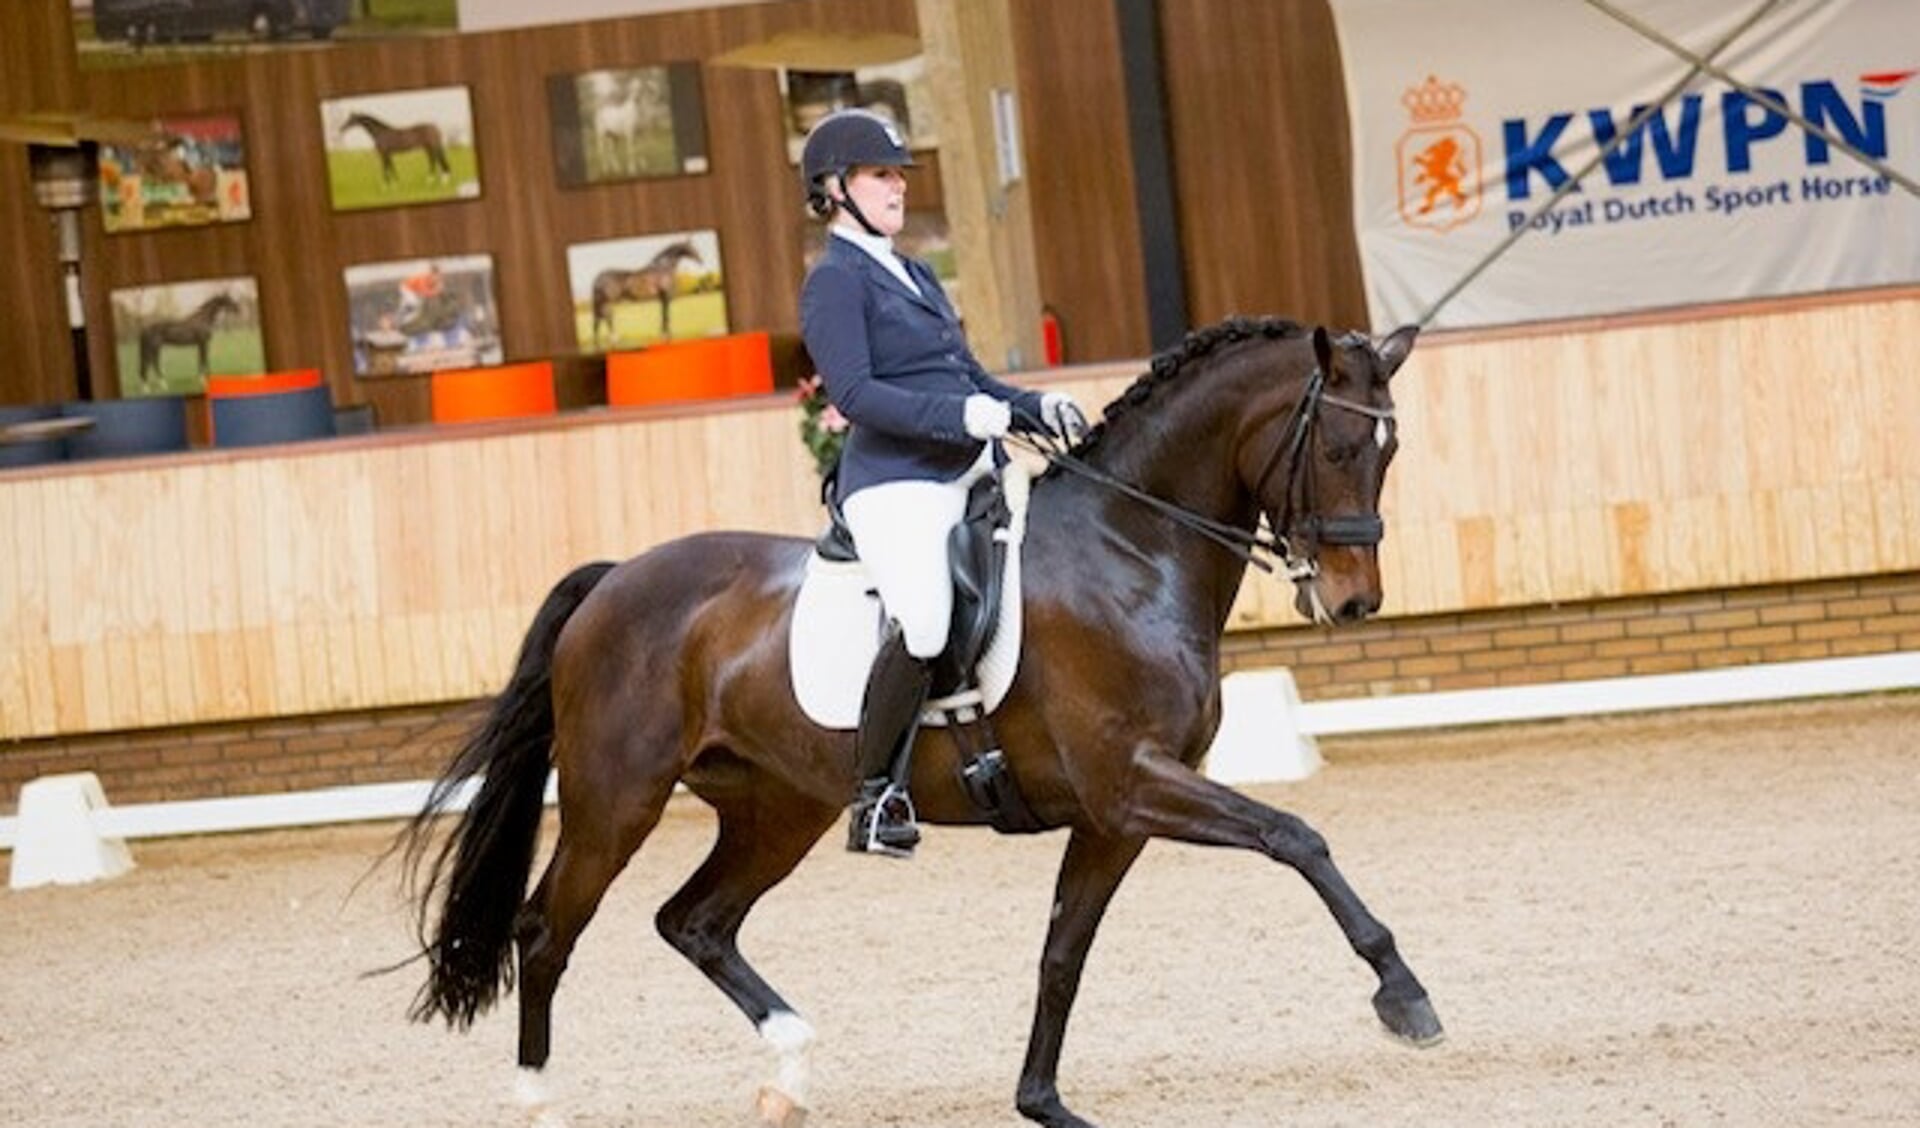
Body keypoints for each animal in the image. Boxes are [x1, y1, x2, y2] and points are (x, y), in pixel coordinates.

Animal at [393, 314, 1443, 1128]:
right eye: (1339, 449)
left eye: (1390, 452)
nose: (1353, 601)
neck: (1130, 549)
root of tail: (615, 580)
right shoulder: (1133, 782)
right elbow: (1295, 836)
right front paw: (1404, 994)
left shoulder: (1113, 816)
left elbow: (1062, 952)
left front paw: (1041, 1101)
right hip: (617, 802)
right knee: (545, 931)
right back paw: (540, 1100)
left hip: (780, 808)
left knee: (695, 921)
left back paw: (790, 1071)